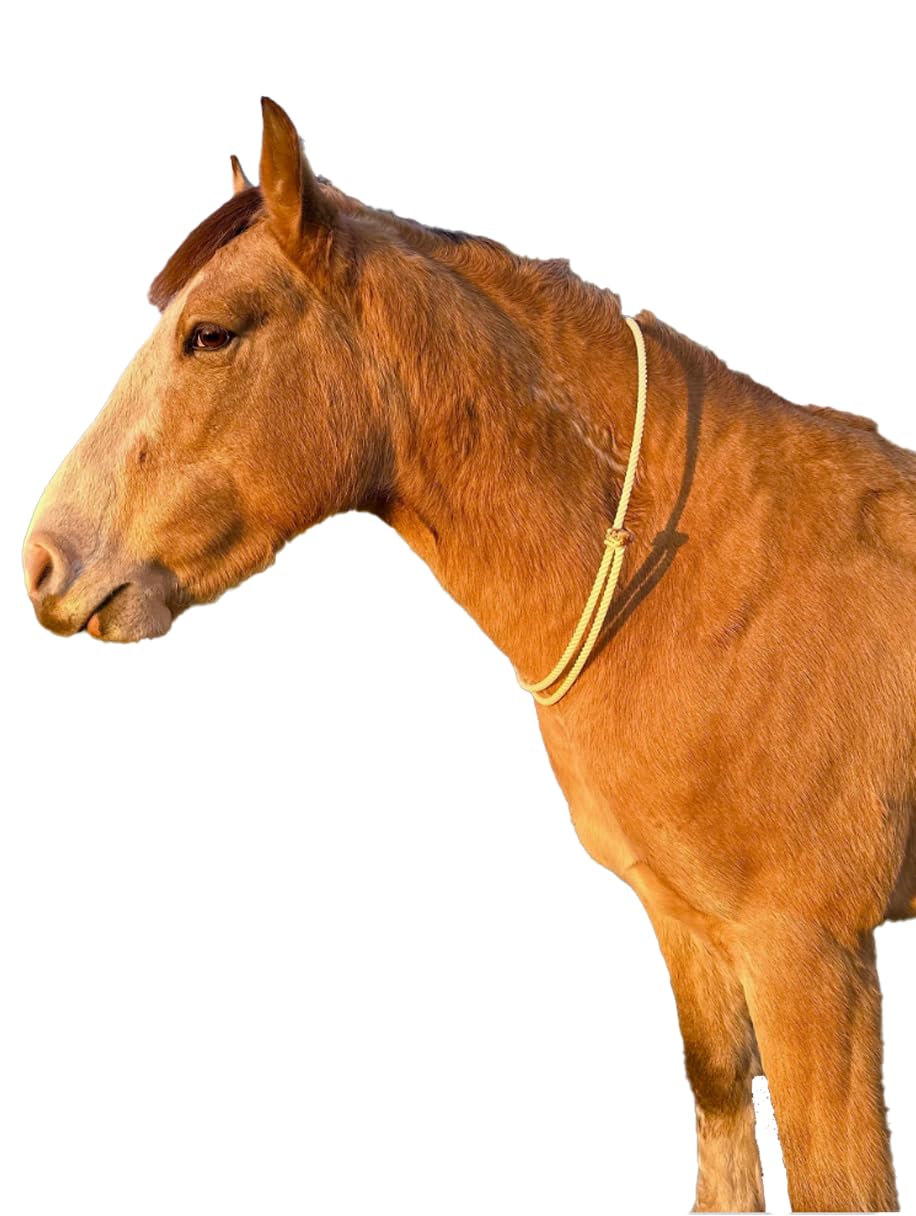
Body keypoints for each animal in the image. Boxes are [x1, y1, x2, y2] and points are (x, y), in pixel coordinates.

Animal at [23, 97, 916, 1213]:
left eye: (210, 333)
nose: (45, 563)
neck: (711, 579)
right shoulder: (691, 929)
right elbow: (720, 1125)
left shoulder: (810, 954)